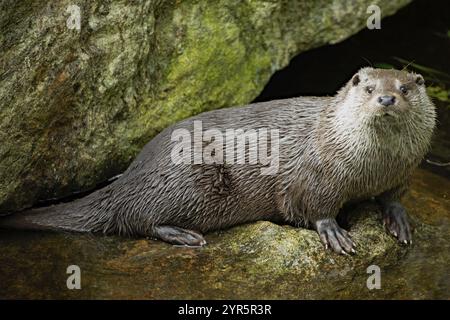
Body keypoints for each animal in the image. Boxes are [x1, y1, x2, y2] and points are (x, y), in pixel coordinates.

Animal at [0, 68, 436, 255]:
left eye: (405, 87)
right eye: (367, 87)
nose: (386, 98)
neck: (373, 168)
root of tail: (129, 177)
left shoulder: (402, 171)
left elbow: (393, 196)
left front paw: (398, 218)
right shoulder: (315, 175)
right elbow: (310, 208)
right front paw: (334, 232)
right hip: (186, 182)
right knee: (135, 217)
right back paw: (185, 236)